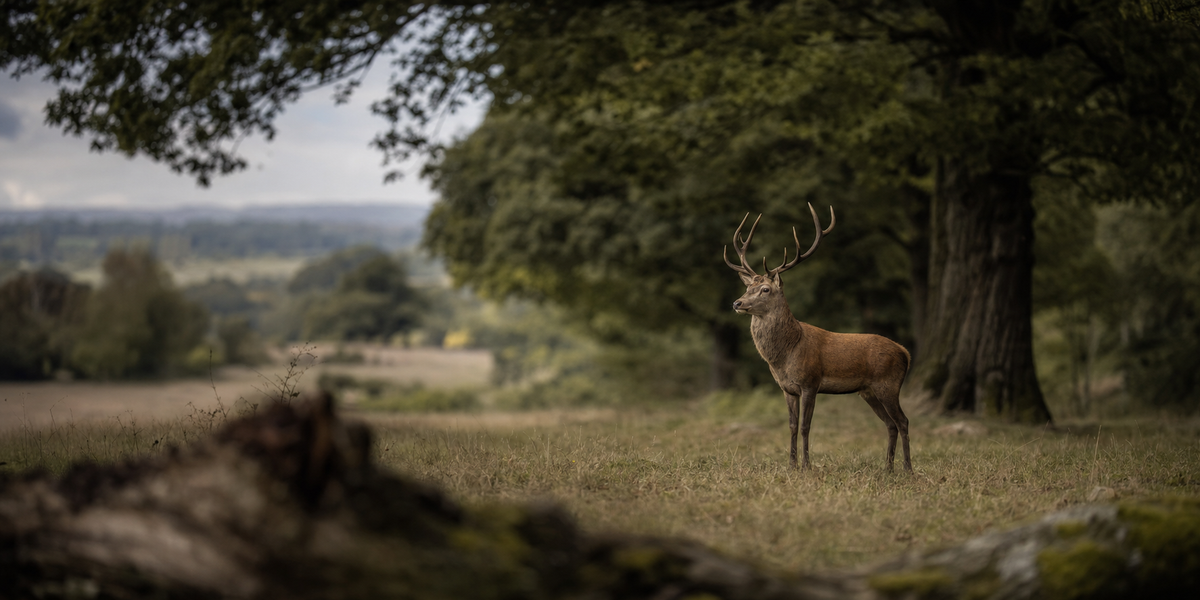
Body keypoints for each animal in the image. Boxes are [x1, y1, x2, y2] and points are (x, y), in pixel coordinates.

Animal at [724, 204, 913, 472]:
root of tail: (905, 352)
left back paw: (907, 468)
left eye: (765, 289)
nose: (737, 303)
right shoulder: (787, 388)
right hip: (869, 391)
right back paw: (887, 468)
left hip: (889, 384)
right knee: (890, 424)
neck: (786, 354)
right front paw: (791, 465)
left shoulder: (810, 382)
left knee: (903, 421)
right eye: (747, 287)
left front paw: (806, 466)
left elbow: (806, 426)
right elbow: (792, 426)